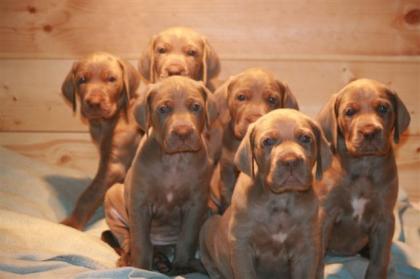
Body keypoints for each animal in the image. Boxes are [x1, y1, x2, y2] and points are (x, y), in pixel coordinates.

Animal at [60, 52, 141, 230]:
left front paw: (72, 224)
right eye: (82, 80)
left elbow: (88, 195)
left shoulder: (113, 167)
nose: (94, 103)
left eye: (111, 79)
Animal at [199, 110, 332, 279]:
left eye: (305, 138)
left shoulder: (306, 249)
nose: (290, 160)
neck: (281, 200)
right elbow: (246, 273)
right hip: (207, 229)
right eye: (268, 141)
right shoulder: (242, 245)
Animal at [316, 77, 410, 278]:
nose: (369, 131)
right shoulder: (325, 214)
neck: (364, 165)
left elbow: (379, 261)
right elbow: (317, 257)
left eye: (383, 108)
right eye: (349, 112)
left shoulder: (384, 220)